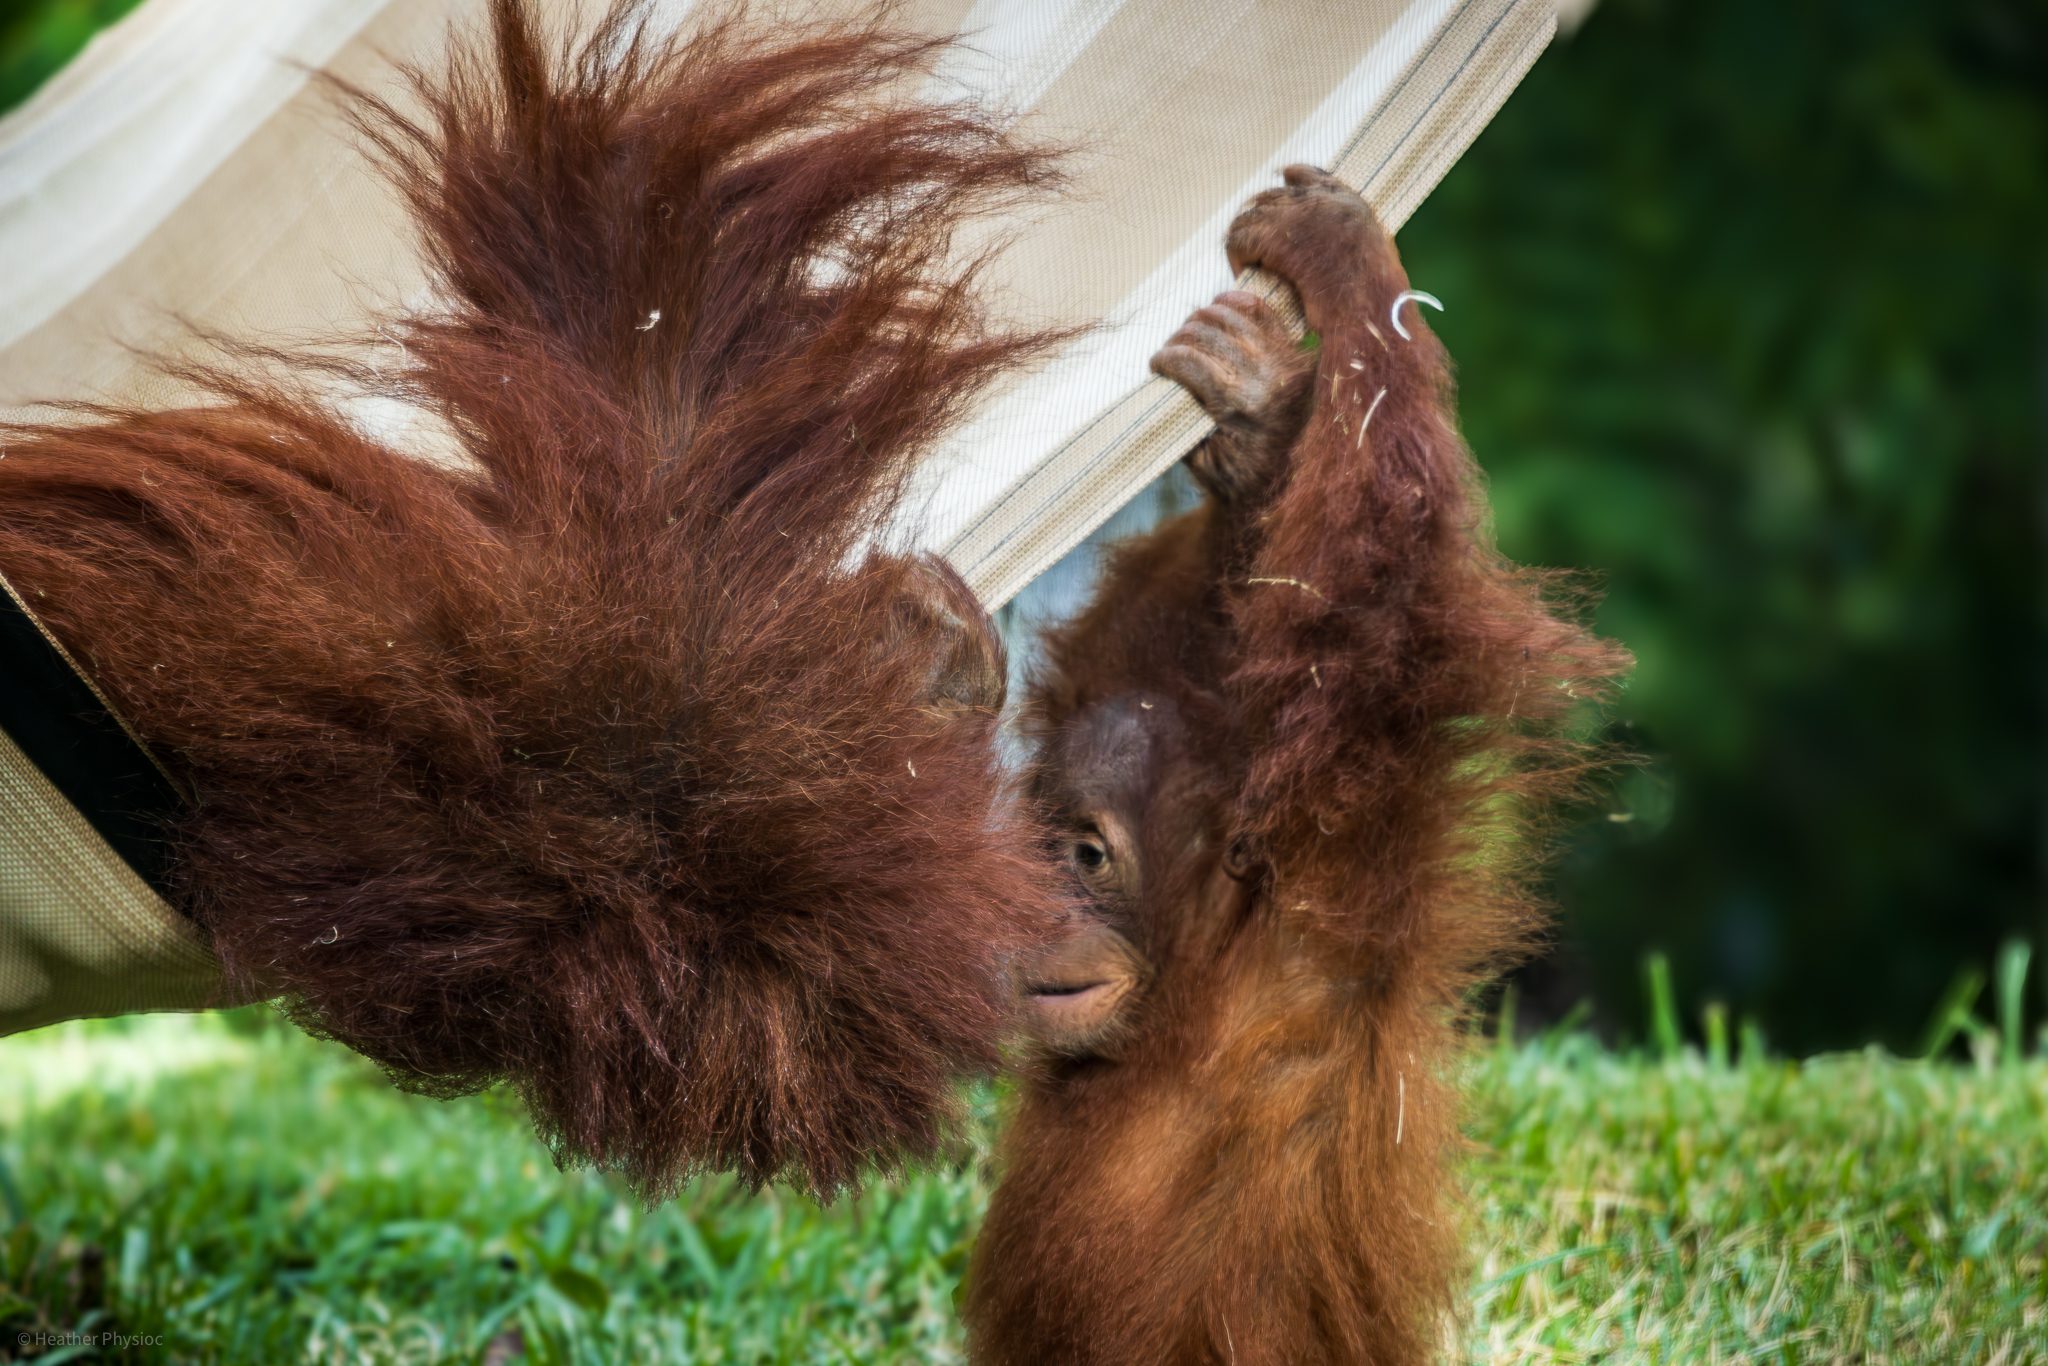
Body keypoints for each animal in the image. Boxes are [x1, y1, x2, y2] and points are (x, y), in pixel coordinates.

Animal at [965, 169, 1631, 1363]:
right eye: (1039, 844)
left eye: (1085, 855)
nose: (1032, 908)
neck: (1194, 982)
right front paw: (1250, 433)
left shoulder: (1341, 876)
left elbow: (1382, 596)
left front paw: (1332, 269)